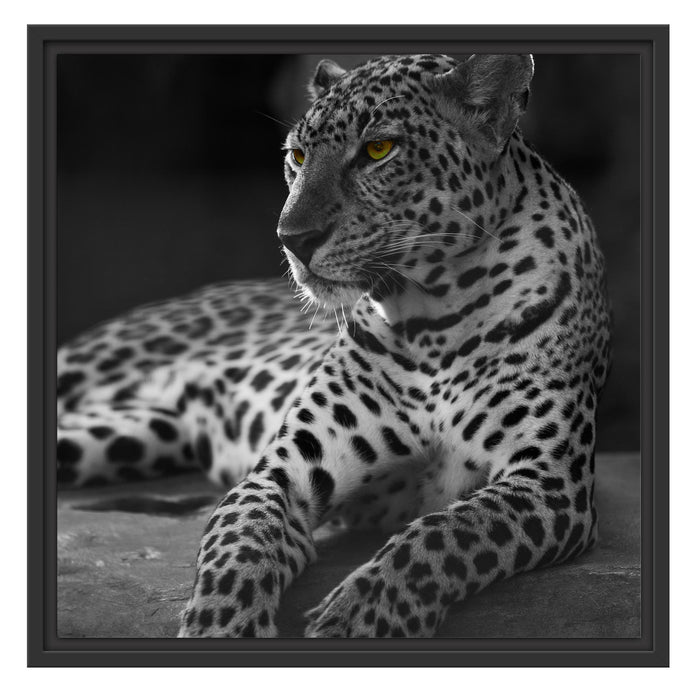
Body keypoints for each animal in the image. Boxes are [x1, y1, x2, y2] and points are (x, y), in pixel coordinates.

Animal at [57, 53, 611, 638]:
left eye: (378, 150)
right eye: (297, 157)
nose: (292, 238)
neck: (432, 319)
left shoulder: (549, 482)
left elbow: (445, 533)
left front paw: (360, 617)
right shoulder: (283, 472)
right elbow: (239, 542)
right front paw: (221, 625)